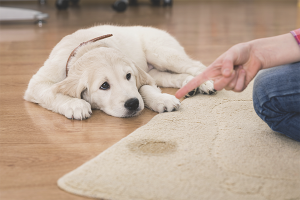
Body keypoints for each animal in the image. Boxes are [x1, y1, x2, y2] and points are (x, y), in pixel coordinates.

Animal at [24, 24, 216, 119]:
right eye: (104, 86)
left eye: (128, 76)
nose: (132, 104)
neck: (86, 48)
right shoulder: (37, 84)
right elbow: (52, 93)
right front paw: (75, 105)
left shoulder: (140, 75)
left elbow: (144, 89)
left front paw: (161, 99)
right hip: (155, 69)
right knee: (171, 77)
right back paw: (189, 85)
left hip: (162, 53)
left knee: (196, 65)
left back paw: (205, 83)